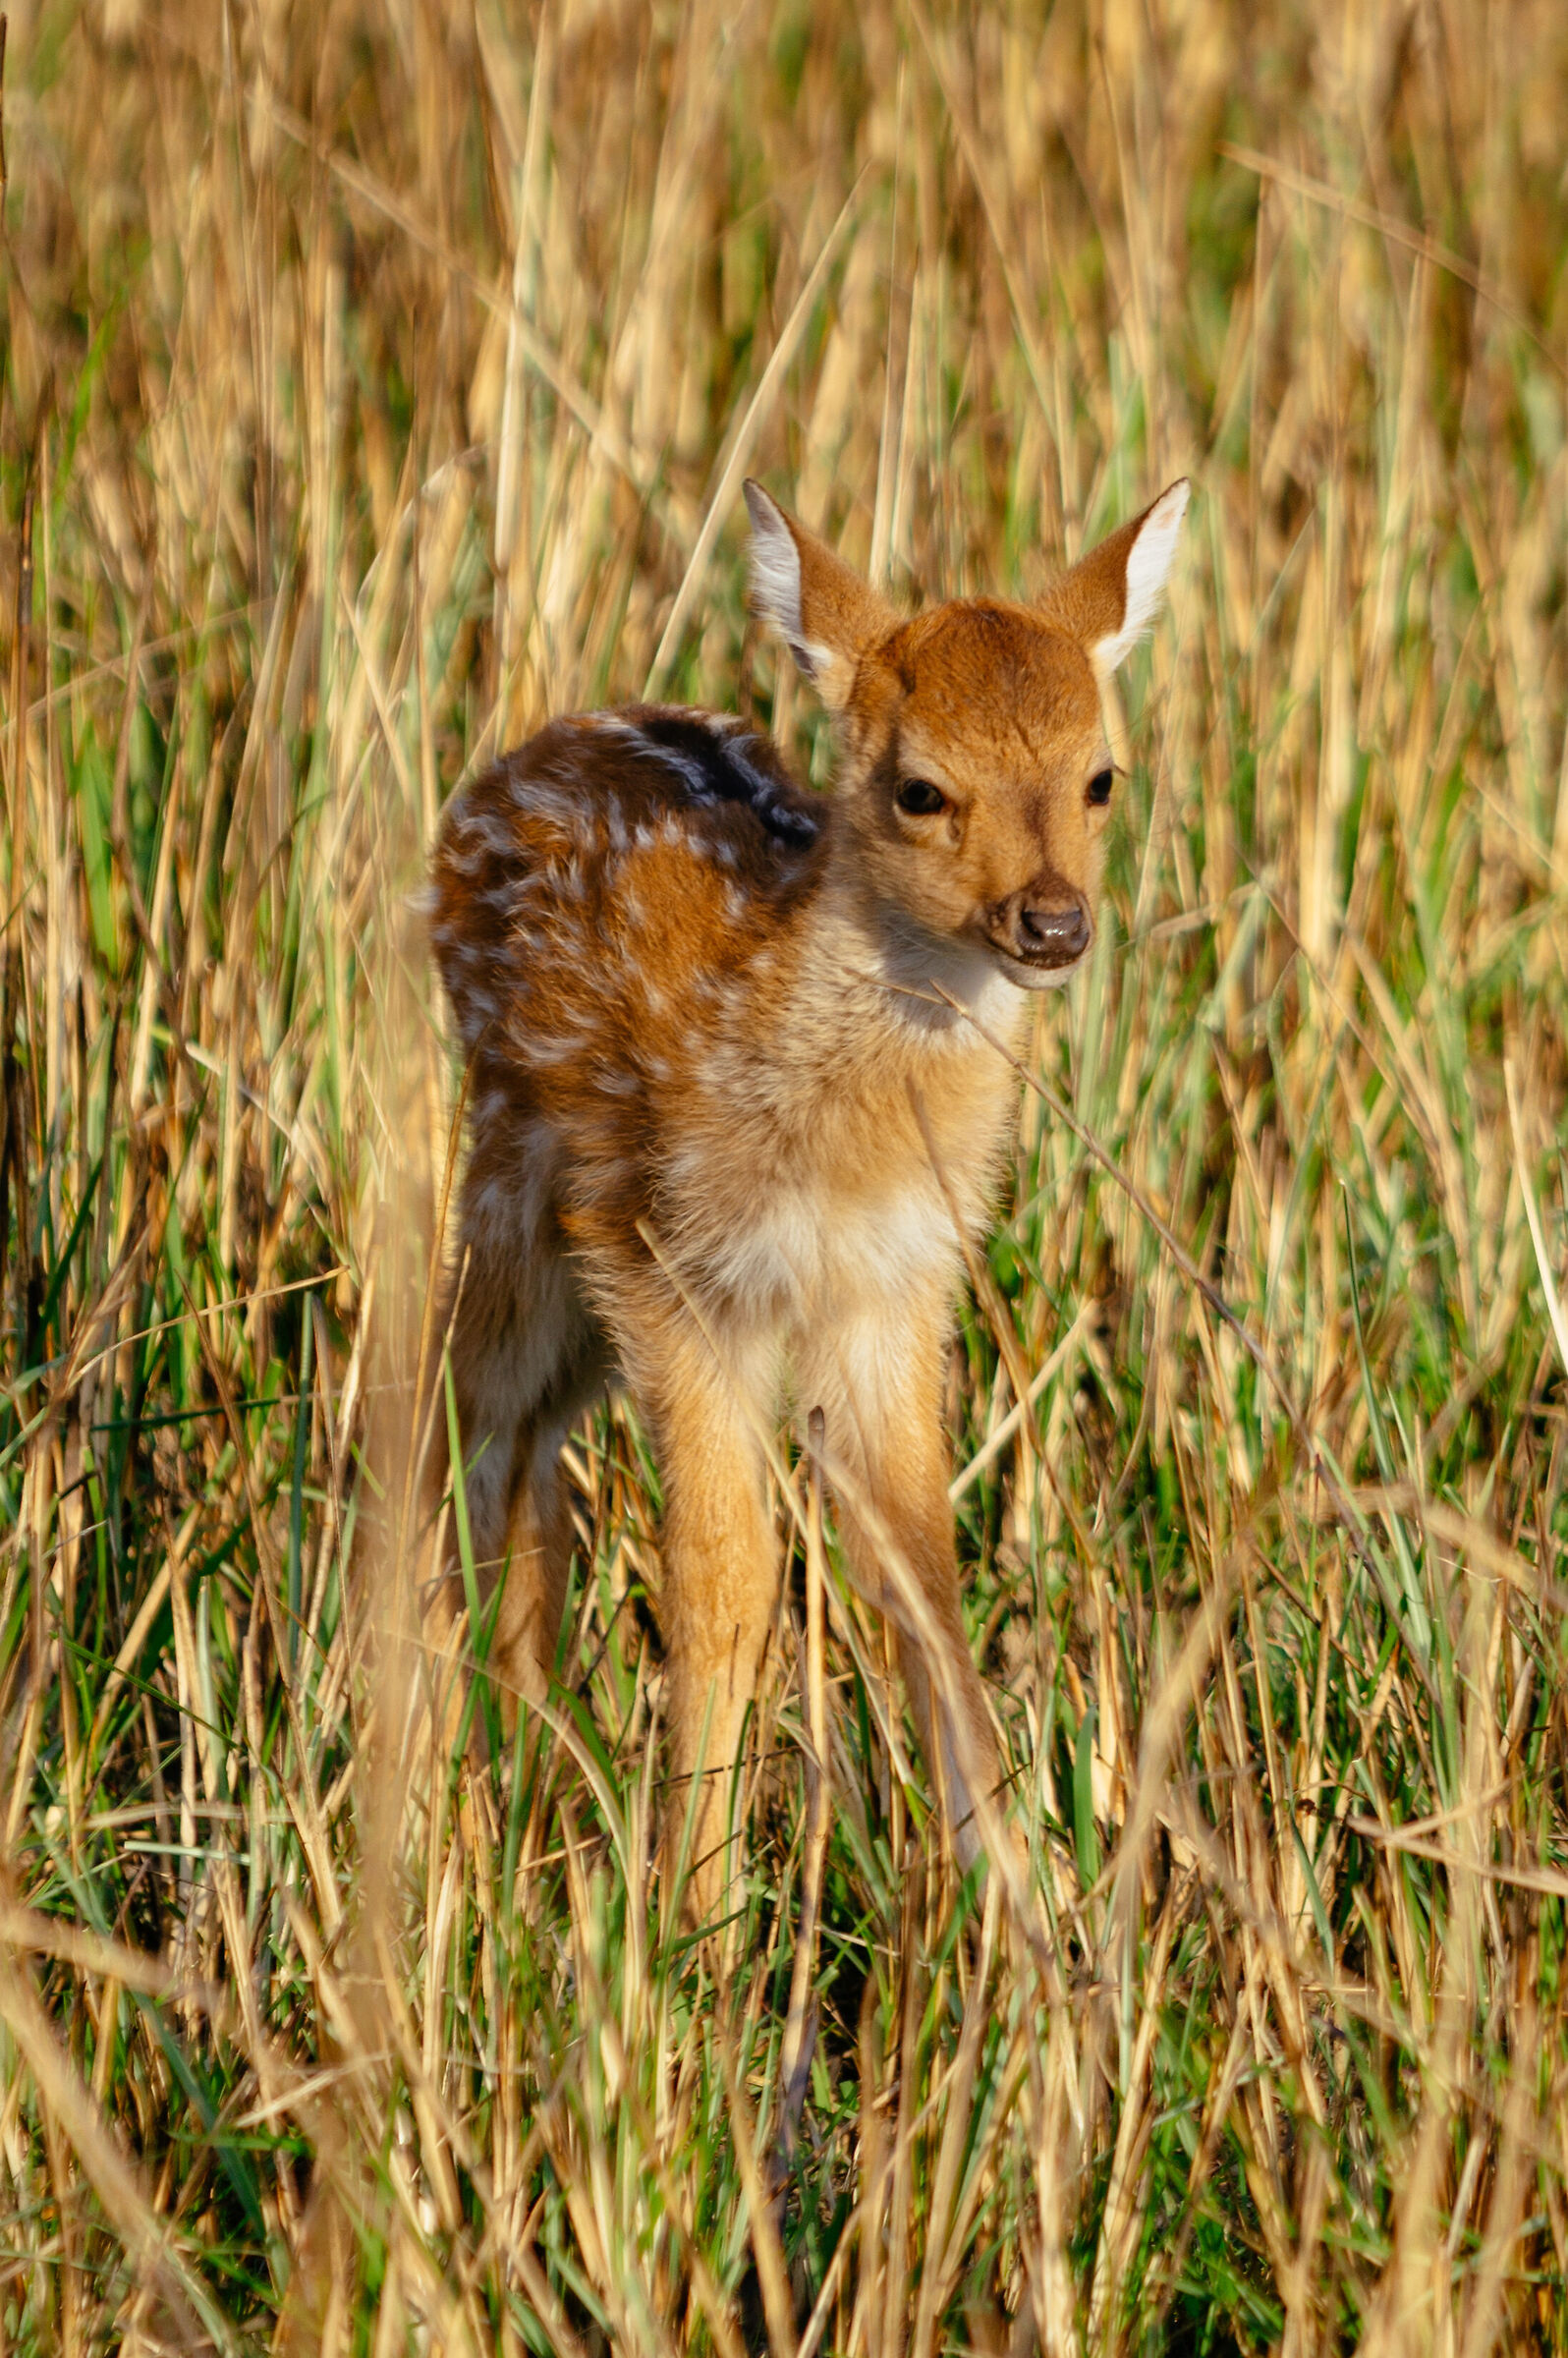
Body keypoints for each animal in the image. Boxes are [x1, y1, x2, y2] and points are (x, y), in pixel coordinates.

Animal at [426, 475, 1188, 1922]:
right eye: (920, 788)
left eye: (1103, 778)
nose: (1052, 921)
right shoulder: (668, 1265)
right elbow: (726, 1583)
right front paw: (695, 1928)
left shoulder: (896, 1289)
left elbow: (924, 1582)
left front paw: (1020, 1923)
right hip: (515, 1195)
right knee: (465, 1432)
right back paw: (454, 1810)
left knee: (529, 1459)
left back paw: (527, 1776)